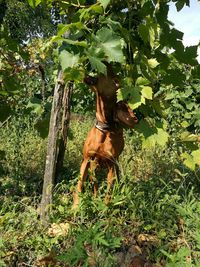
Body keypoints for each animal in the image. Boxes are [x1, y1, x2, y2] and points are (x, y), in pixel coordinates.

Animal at [73, 68, 138, 208]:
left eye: (115, 79)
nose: (106, 64)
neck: (105, 129)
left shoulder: (111, 165)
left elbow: (109, 191)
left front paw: (105, 207)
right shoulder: (86, 160)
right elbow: (80, 184)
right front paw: (75, 207)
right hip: (94, 165)